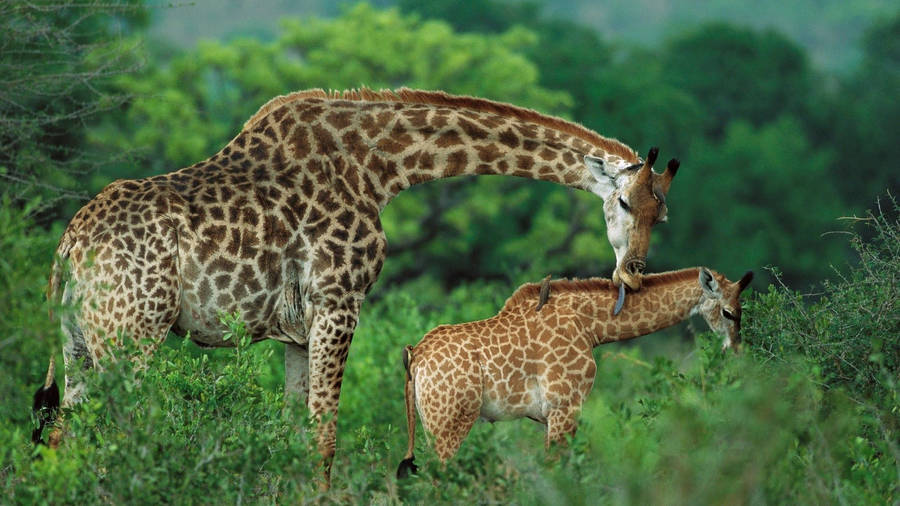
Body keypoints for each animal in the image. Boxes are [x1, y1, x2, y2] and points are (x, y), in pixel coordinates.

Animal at [33, 88, 679, 486]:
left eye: (663, 214)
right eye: (625, 202)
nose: (632, 272)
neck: (381, 167)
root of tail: (68, 249)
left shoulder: (295, 330)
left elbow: (294, 437)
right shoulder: (340, 302)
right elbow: (325, 440)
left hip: (78, 340)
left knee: (65, 433)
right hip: (132, 336)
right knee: (117, 434)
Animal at [396, 267, 753, 477]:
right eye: (728, 312)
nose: (736, 351)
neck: (590, 326)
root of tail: (415, 355)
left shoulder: (547, 416)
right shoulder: (565, 406)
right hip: (450, 422)